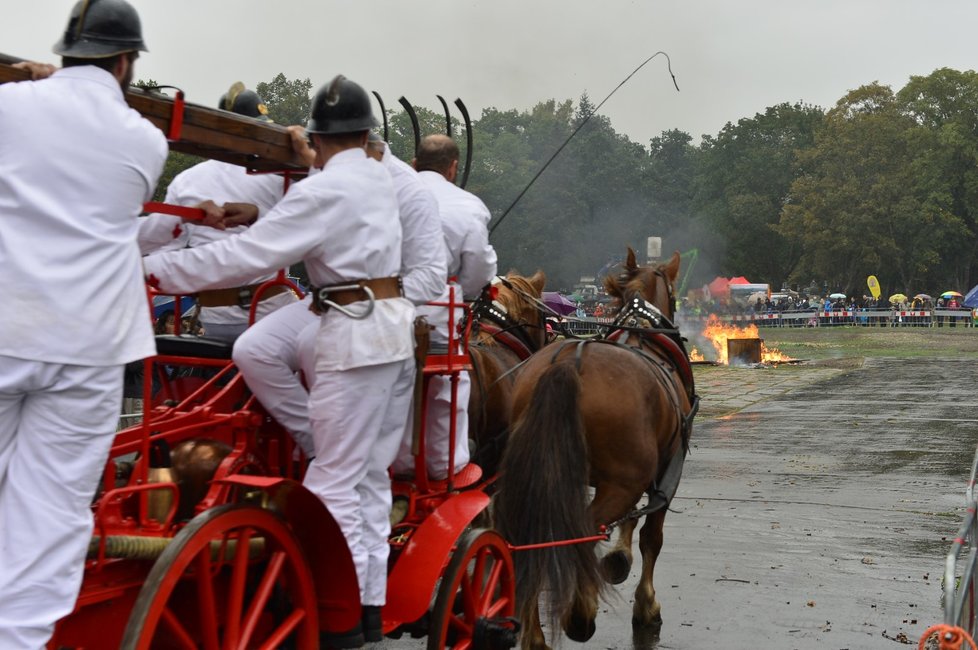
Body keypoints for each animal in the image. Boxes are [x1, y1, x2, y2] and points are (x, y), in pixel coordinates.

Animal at [496, 249, 692, 648]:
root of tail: (568, 367)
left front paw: (618, 558)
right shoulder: (666, 472)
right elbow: (651, 537)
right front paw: (645, 604)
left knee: (529, 535)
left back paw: (535, 633)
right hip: (620, 482)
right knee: (583, 530)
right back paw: (580, 612)